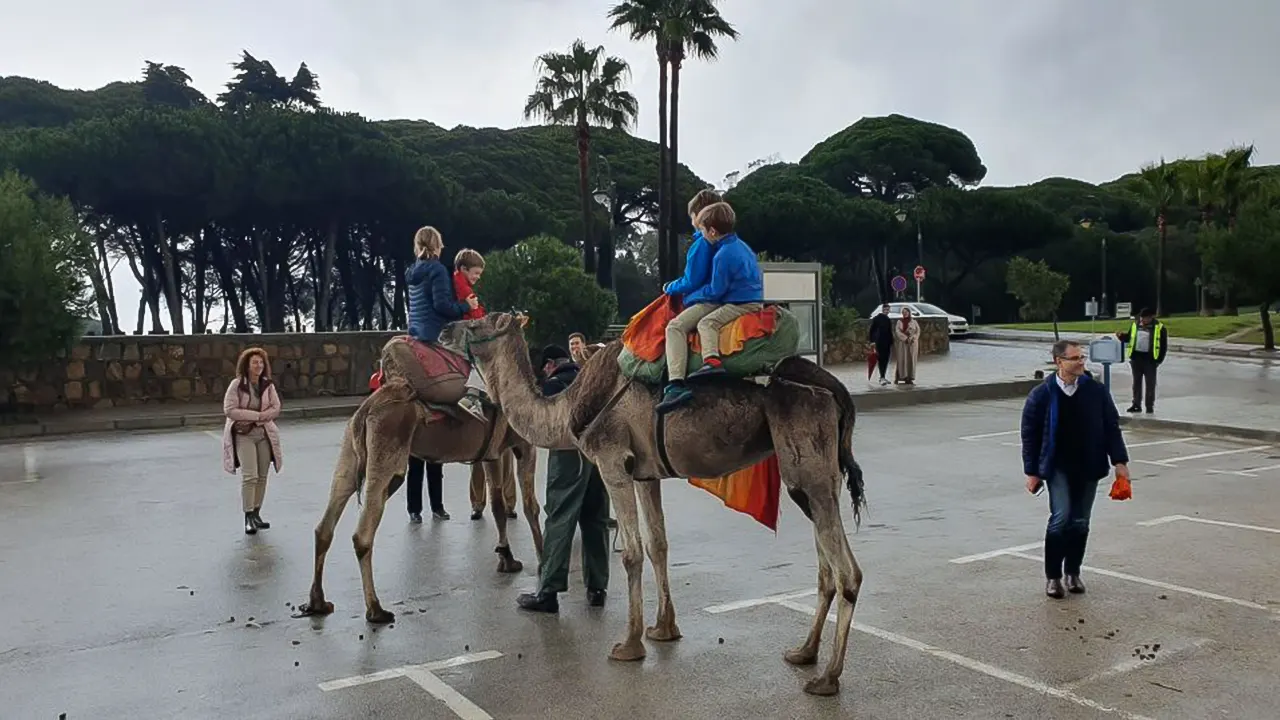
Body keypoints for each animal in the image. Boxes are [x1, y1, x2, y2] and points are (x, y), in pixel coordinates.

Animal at [294, 371, 540, 625]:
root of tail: (367, 408)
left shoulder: (492, 453)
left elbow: (498, 505)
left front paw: (507, 559)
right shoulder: (523, 444)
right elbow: (531, 506)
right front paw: (539, 562)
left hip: (350, 452)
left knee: (326, 522)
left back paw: (317, 603)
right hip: (387, 452)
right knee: (362, 534)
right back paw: (376, 610)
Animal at [440, 311, 870, 691]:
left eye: (477, 322)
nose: (444, 330)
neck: (566, 407)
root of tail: (835, 390)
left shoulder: (612, 460)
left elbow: (631, 553)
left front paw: (629, 644)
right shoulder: (646, 473)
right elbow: (658, 544)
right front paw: (663, 629)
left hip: (805, 460)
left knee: (847, 570)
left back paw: (827, 677)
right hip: (819, 470)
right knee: (826, 563)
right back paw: (804, 652)